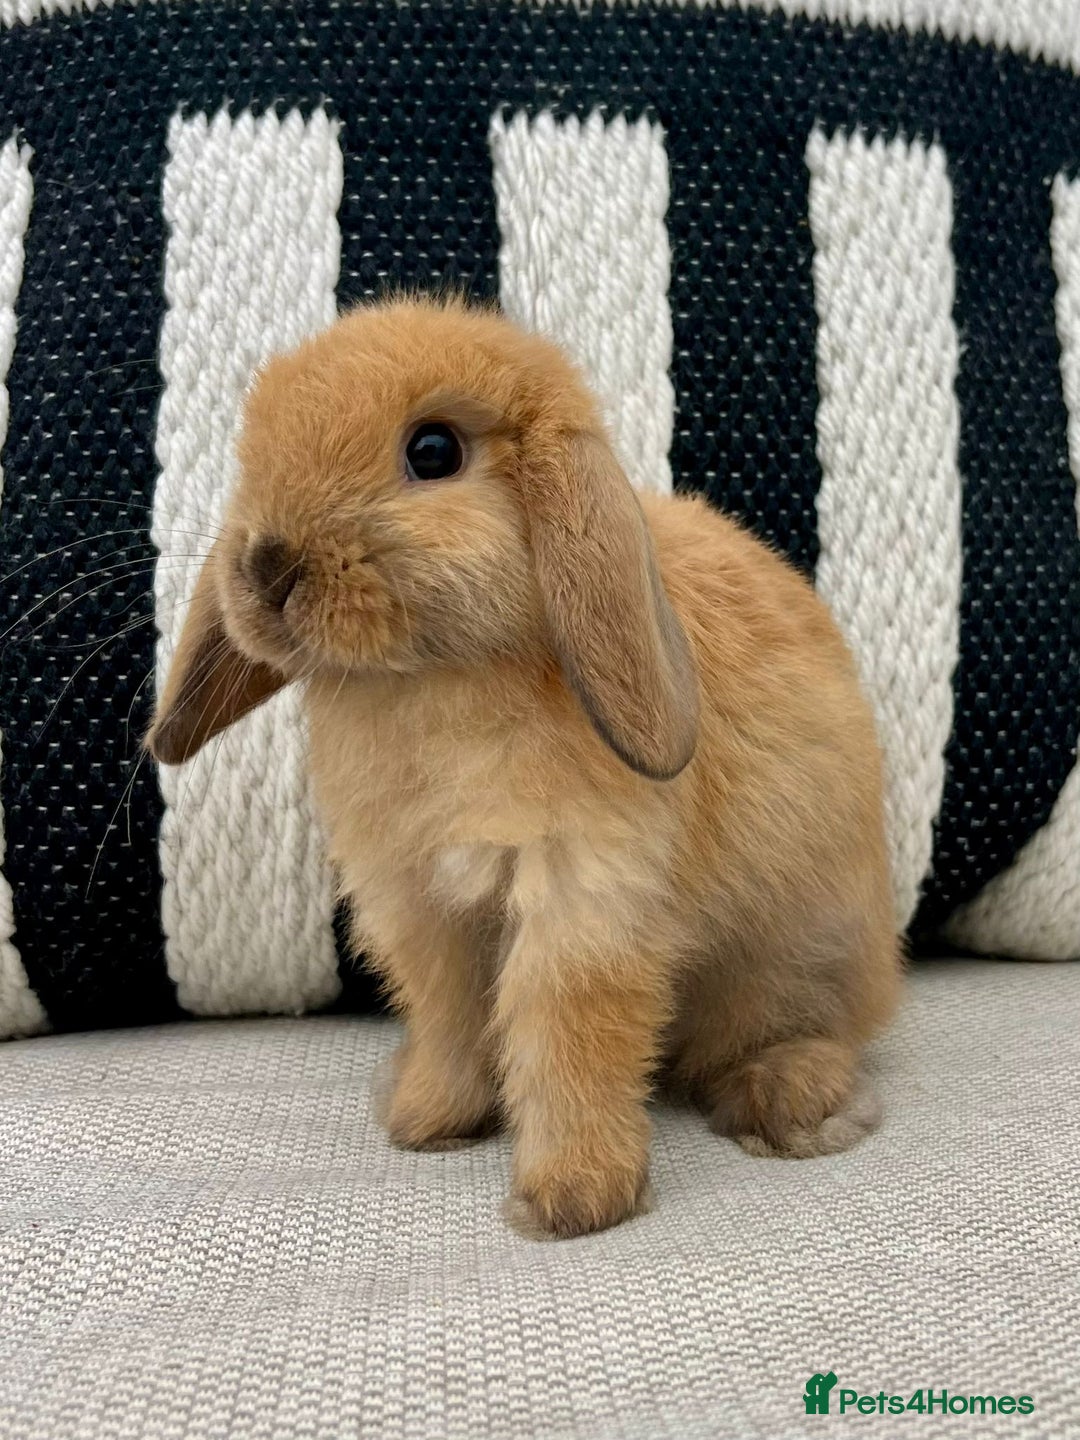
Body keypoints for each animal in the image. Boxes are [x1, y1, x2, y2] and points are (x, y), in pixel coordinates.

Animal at [149, 296, 902, 1239]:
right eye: (251, 453)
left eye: (433, 451)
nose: (265, 565)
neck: (431, 677)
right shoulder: (419, 907)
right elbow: (449, 1015)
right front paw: (427, 1121)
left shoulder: (582, 895)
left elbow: (569, 1030)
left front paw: (573, 1197)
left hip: (798, 954)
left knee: (807, 1033)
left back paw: (787, 1100)